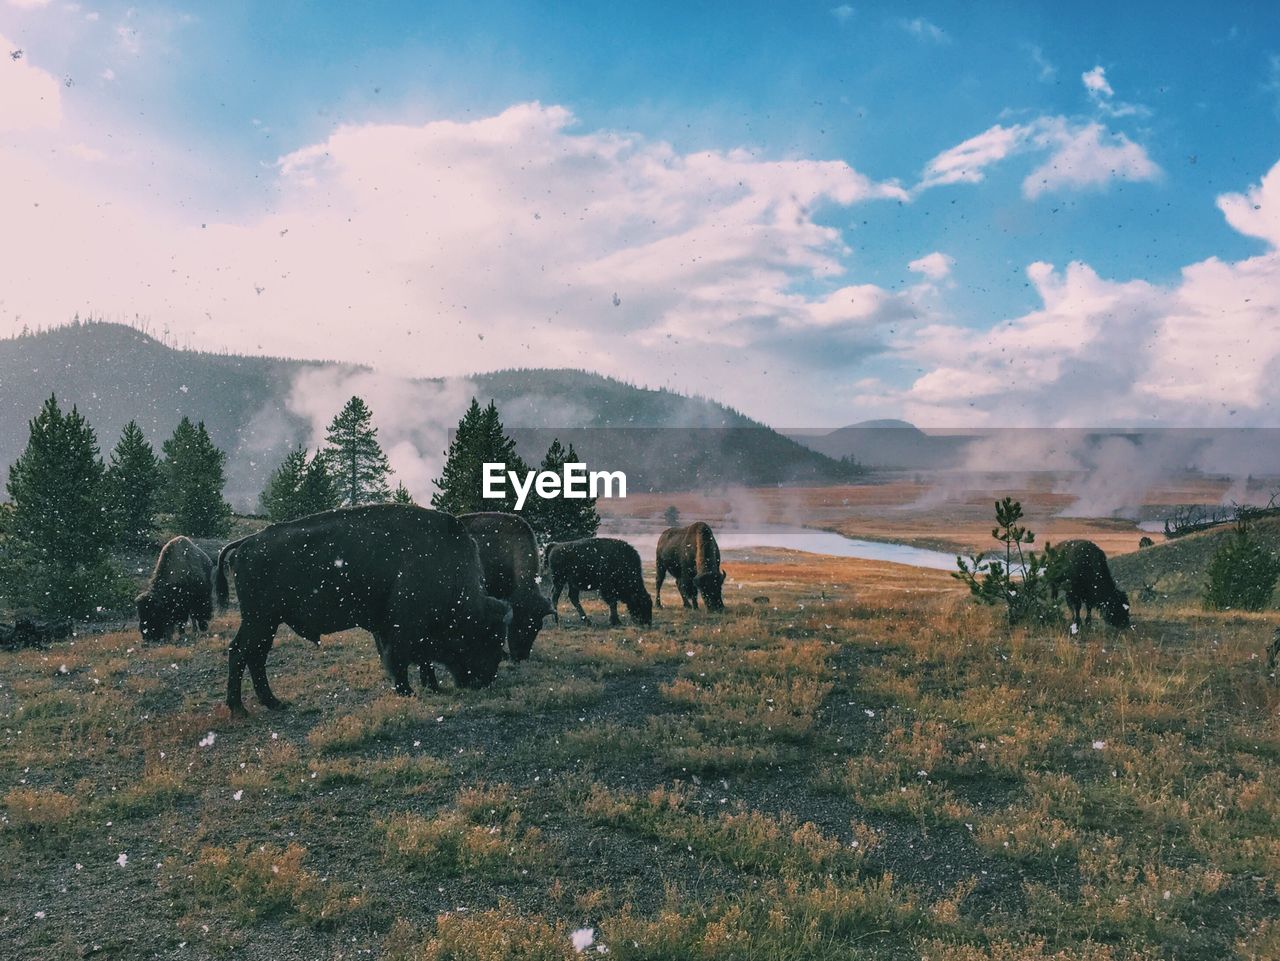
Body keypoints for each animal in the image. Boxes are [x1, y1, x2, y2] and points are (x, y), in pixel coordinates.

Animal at [215, 504, 509, 716]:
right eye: (487, 637)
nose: (486, 680)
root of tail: (246, 543)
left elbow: (419, 660)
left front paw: (431, 686)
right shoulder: (402, 629)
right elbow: (401, 660)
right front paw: (408, 691)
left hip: (267, 622)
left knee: (255, 655)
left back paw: (273, 703)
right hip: (259, 620)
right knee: (240, 652)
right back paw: (240, 709)